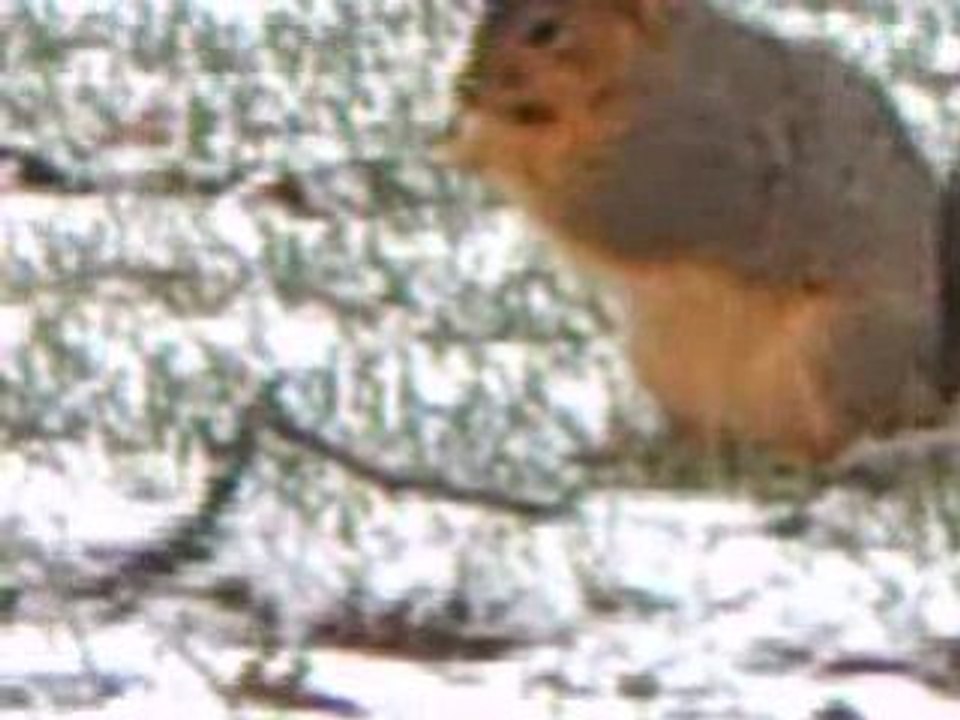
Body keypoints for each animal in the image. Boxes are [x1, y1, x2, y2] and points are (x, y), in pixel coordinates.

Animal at [434, 0, 956, 463]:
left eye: (545, 30)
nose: (466, 87)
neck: (648, 69)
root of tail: (936, 388)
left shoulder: (687, 165)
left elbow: (600, 204)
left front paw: (488, 142)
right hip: (660, 359)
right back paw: (650, 451)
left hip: (838, 346)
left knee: (842, 434)